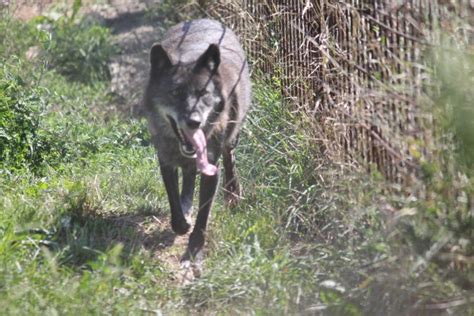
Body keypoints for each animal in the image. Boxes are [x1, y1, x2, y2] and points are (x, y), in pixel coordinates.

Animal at [143, 19, 252, 256]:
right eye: (175, 92)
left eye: (203, 93)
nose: (194, 121)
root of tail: (206, 20)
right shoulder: (166, 162)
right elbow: (174, 201)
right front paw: (182, 223)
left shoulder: (212, 168)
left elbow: (204, 212)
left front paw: (195, 247)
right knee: (189, 175)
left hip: (232, 135)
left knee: (229, 158)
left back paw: (232, 194)